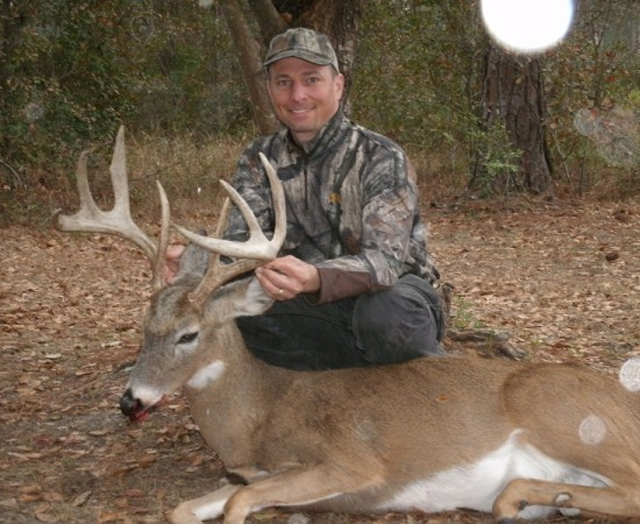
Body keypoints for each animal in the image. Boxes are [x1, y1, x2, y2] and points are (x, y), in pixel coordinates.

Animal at [55, 126, 640, 524]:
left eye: (188, 335)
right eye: (142, 327)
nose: (130, 401)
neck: (258, 417)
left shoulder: (352, 462)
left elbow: (241, 501)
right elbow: (186, 506)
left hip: (563, 415)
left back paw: (521, 496)